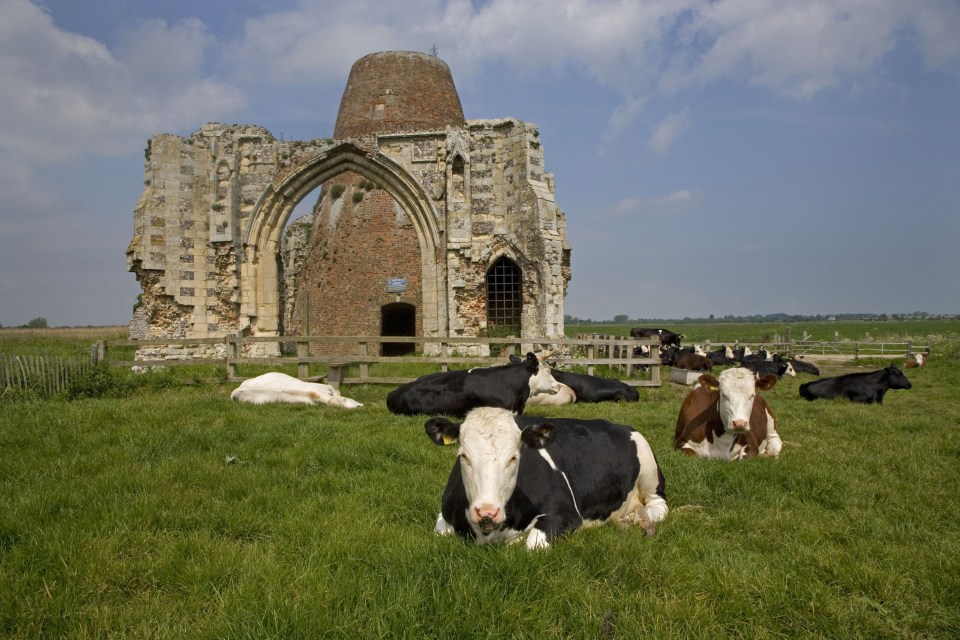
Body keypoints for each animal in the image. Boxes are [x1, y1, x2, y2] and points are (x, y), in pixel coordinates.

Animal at [428, 408, 668, 548]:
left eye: (514, 457)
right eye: (463, 456)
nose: (487, 512)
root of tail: (617, 425)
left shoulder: (568, 514)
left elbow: (532, 544)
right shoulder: (444, 514)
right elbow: (440, 533)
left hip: (649, 469)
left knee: (659, 505)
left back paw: (637, 519)